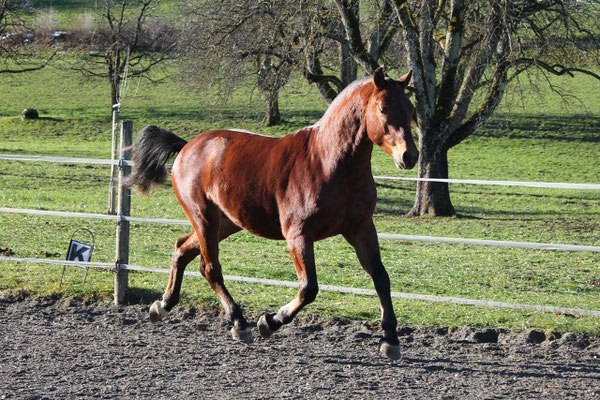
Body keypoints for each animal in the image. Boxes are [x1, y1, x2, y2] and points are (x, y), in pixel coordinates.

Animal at [127, 68, 418, 360]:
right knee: (210, 268)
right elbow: (309, 288)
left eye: (410, 108)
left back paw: (163, 306)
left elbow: (381, 278)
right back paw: (239, 324)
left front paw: (391, 340)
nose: (410, 156)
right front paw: (269, 322)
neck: (329, 162)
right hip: (203, 218)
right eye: (383, 108)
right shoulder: (298, 236)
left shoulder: (361, 229)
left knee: (182, 249)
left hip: (226, 223)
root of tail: (188, 146)